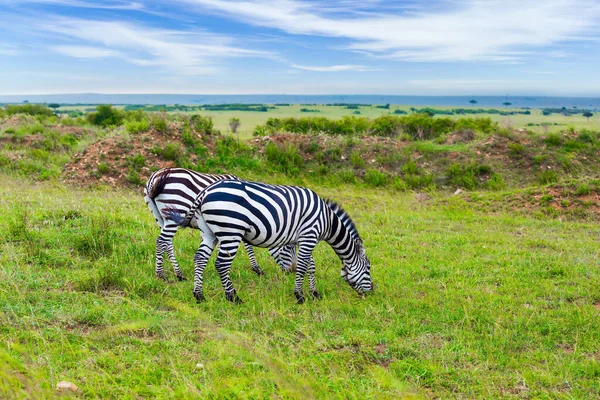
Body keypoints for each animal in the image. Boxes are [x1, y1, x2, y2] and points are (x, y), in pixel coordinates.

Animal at [145, 169, 296, 282]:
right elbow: (248, 246)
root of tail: (154, 177)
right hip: (176, 209)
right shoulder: (241, 221)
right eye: (289, 247)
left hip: (161, 217)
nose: (292, 272)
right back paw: (160, 275)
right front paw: (257, 269)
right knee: (161, 241)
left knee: (167, 243)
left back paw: (179, 274)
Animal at [162, 178, 372, 304]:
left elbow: (310, 266)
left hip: (209, 232)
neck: (327, 220)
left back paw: (199, 295)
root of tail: (204, 192)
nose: (372, 293)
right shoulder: (309, 236)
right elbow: (303, 266)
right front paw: (300, 296)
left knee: (200, 258)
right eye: (369, 268)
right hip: (230, 231)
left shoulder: (301, 239)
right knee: (221, 264)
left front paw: (314, 293)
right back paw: (233, 297)